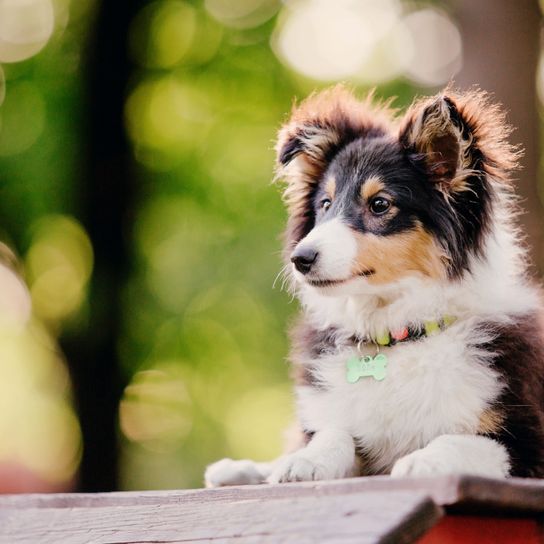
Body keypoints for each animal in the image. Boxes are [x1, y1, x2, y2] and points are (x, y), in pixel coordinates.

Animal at [205, 87, 544, 486]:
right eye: (325, 204)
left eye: (380, 204)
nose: (300, 259)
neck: (394, 333)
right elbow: (333, 434)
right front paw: (305, 461)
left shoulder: (527, 439)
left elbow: (463, 440)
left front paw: (422, 461)